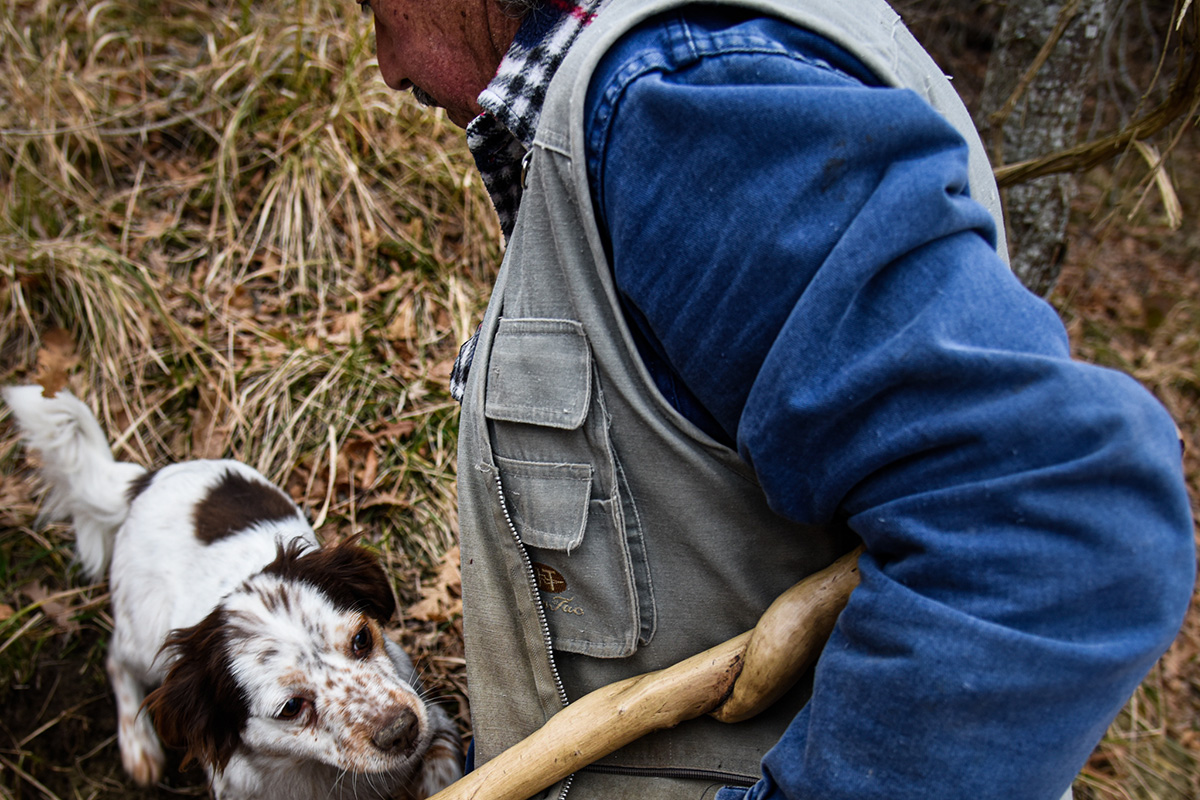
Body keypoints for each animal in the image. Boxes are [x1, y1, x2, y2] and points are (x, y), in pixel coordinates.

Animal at [3, 383, 463, 796]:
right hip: (147, 640)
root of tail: (146, 479)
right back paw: (139, 748)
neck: (317, 772)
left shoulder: (437, 724)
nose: (403, 730)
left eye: (362, 639)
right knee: (115, 656)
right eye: (291, 707)